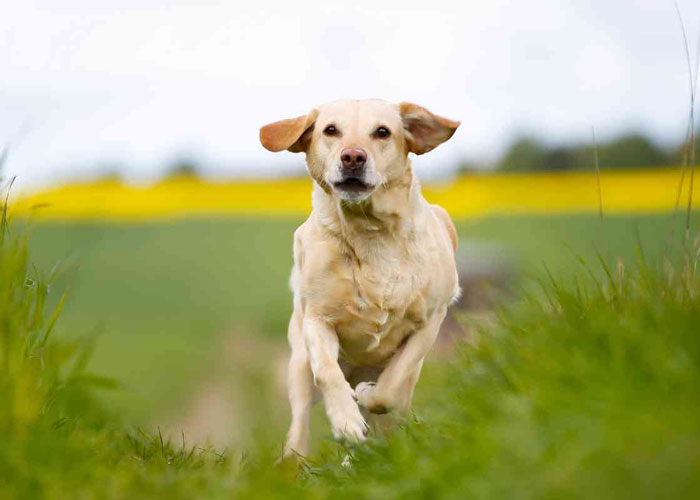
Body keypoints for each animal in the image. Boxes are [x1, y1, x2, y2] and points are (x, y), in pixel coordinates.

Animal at [260, 97, 462, 458]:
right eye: (330, 130)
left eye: (382, 132)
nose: (353, 157)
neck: (370, 233)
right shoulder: (317, 320)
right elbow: (327, 372)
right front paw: (345, 421)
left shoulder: (431, 320)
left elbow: (390, 388)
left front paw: (368, 395)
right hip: (298, 367)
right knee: (299, 426)